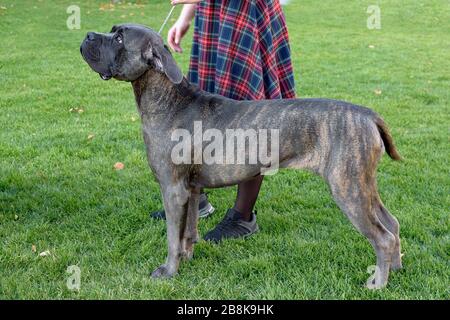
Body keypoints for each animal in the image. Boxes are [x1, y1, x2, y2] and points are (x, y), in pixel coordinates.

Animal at [81, 23, 404, 288]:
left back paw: (378, 283)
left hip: (347, 188)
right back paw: (396, 269)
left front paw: (168, 271)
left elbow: (173, 236)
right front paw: (187, 258)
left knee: (383, 237)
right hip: (362, 185)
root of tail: (368, 115)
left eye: (119, 38)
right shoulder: (190, 188)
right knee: (392, 224)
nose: (87, 35)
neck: (169, 100)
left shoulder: (172, 189)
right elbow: (188, 232)